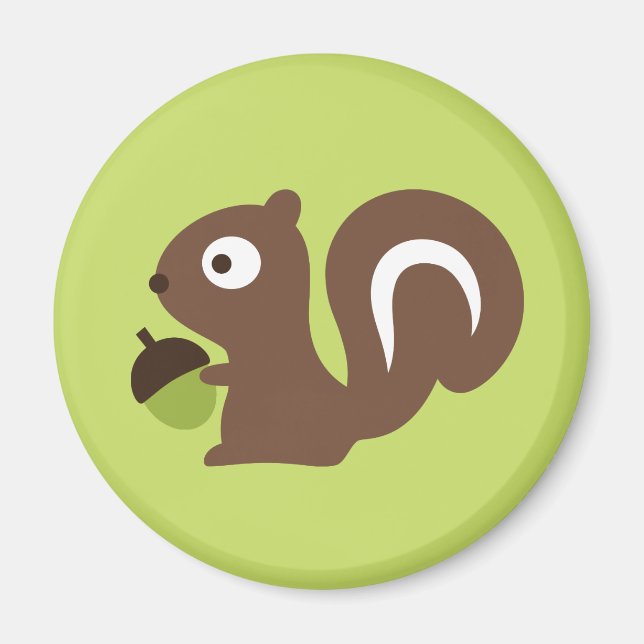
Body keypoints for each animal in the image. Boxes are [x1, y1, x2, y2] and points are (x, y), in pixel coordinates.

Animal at [150, 189, 523, 466]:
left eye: (222, 262)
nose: (158, 281)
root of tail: (351, 419)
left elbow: (241, 371)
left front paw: (212, 373)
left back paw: (230, 456)